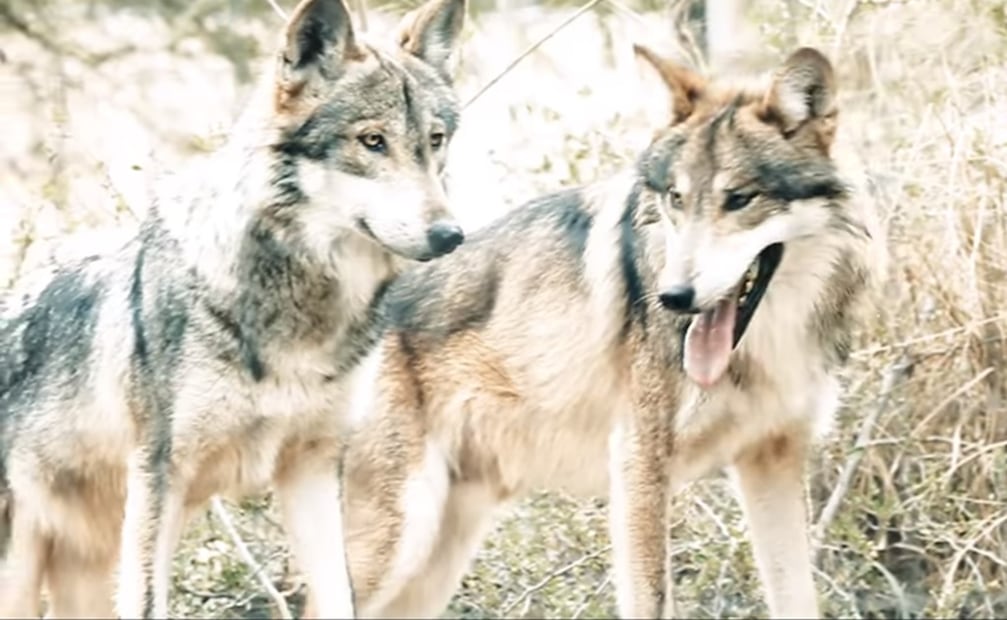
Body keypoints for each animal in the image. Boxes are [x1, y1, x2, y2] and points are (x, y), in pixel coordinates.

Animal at [0, 0, 469, 616]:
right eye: (371, 141)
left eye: (435, 141)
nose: (450, 234)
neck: (300, 312)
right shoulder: (160, 475)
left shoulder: (313, 468)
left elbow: (337, 595)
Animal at [318, 44, 886, 618]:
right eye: (676, 198)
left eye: (740, 198)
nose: (673, 296)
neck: (767, 345)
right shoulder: (639, 464)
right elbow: (651, 600)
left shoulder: (772, 459)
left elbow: (799, 598)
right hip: (395, 542)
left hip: (436, 559)